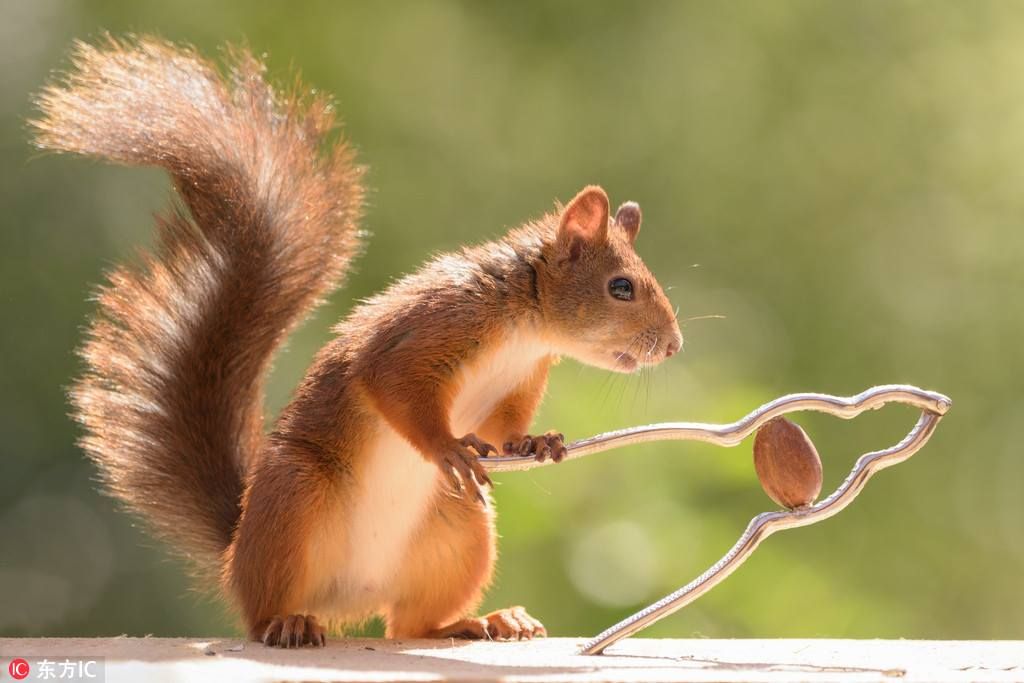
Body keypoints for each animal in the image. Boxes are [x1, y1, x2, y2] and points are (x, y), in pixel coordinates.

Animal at [32, 36, 684, 647]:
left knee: (410, 626)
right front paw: (447, 446)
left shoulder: (523, 374)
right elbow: (391, 383)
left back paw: (488, 620)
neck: (523, 322)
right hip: (295, 496)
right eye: (621, 287)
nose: (674, 346)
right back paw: (290, 623)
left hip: (459, 531)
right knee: (267, 611)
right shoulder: (430, 328)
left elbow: (502, 425)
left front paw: (535, 442)